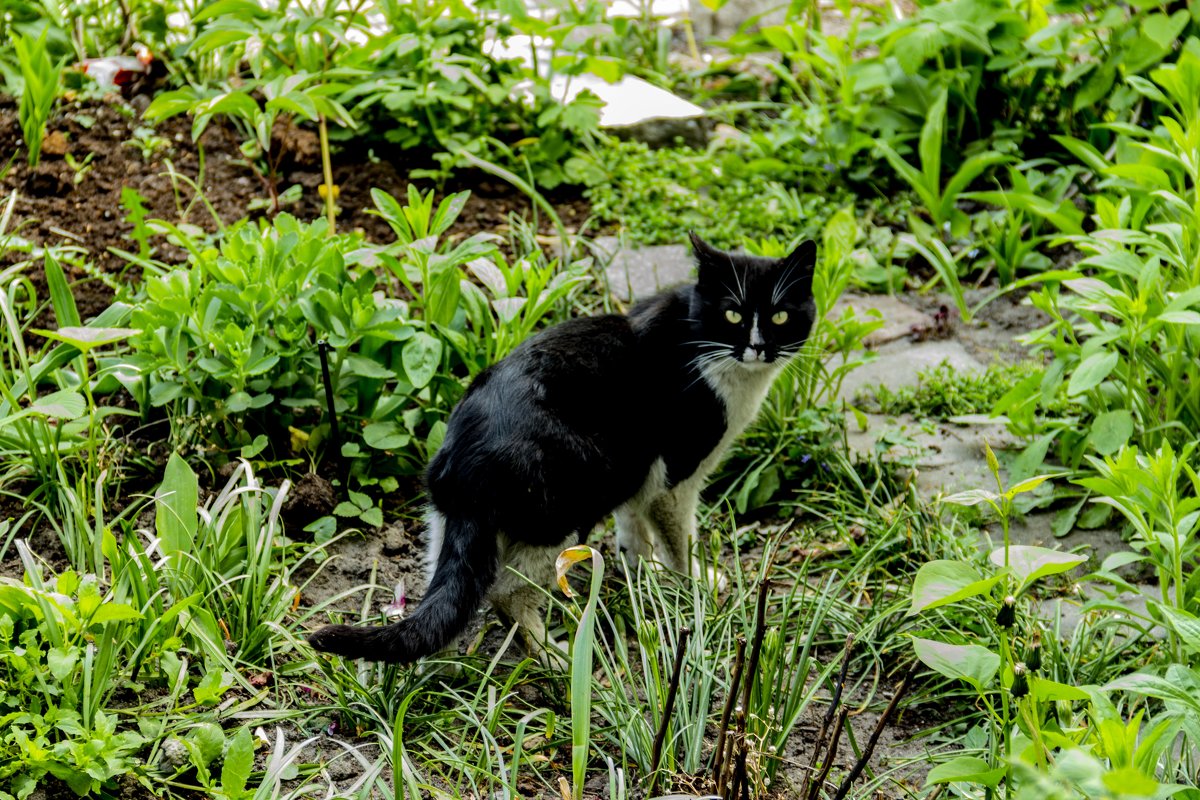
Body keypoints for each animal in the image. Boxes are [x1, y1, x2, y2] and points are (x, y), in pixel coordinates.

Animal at [304, 231, 820, 662]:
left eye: (780, 315)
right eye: (733, 313)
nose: (759, 347)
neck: (701, 339)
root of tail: (468, 459)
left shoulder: (640, 470)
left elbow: (634, 524)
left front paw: (642, 572)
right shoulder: (677, 473)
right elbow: (680, 537)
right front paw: (692, 581)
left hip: (454, 519)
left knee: (448, 596)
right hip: (571, 503)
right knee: (504, 591)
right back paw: (555, 658)